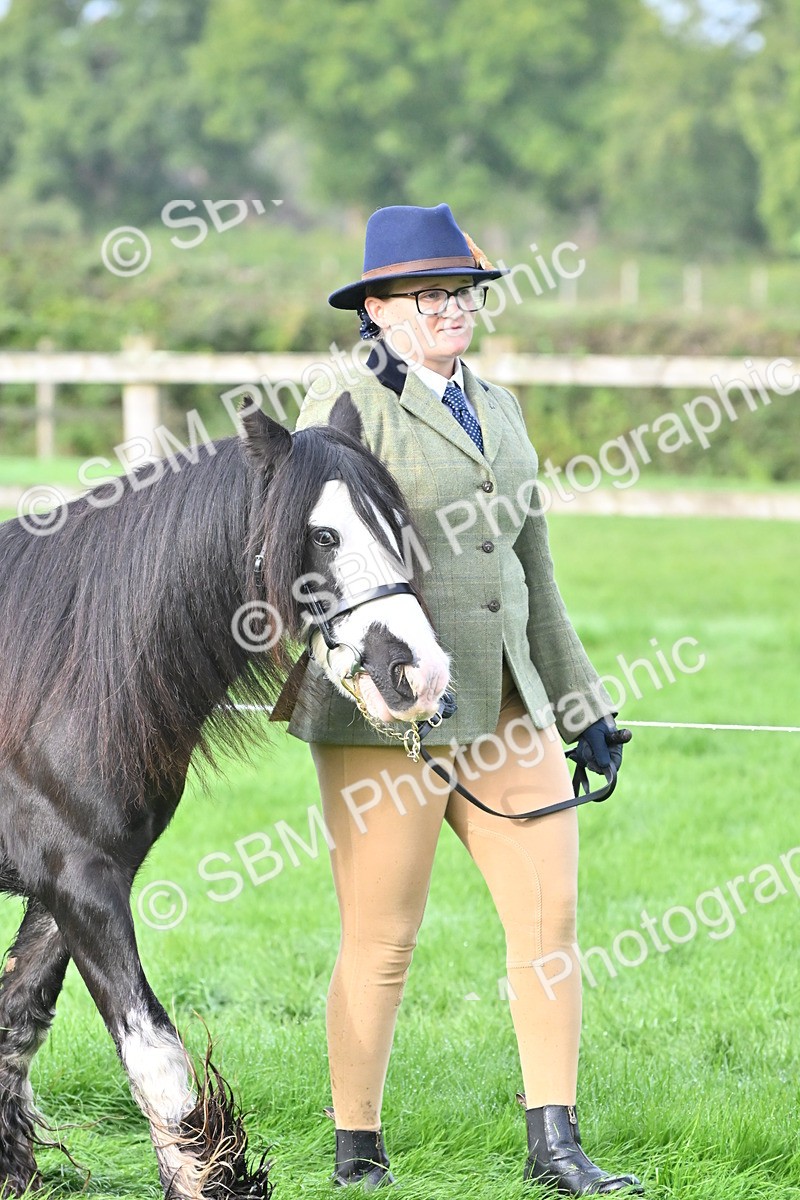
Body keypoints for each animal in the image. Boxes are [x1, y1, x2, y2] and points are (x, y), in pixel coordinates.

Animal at [0, 391, 450, 1199]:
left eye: (396, 523)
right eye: (323, 534)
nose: (419, 674)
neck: (59, 672)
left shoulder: (69, 885)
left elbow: (15, 1025)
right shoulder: (81, 884)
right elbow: (157, 1060)